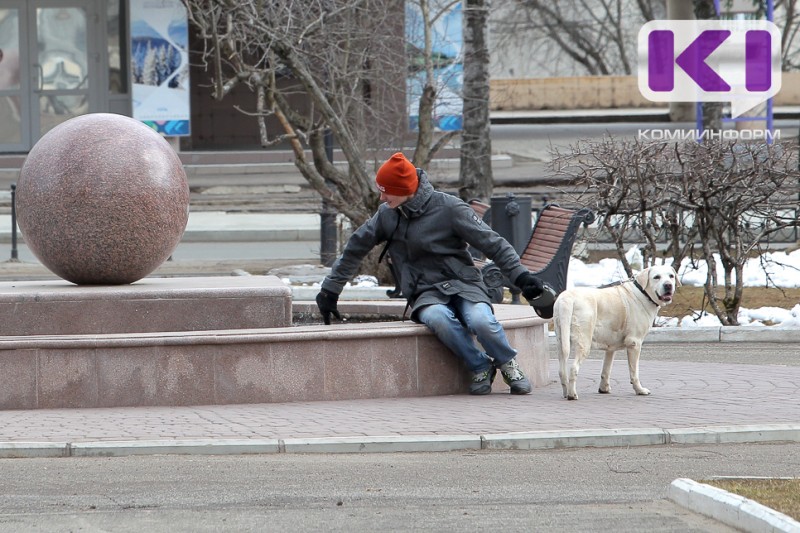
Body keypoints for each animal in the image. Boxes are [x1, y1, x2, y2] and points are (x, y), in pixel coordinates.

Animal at [552, 264, 680, 400]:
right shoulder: (634, 343)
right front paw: (639, 390)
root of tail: (567, 298)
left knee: (562, 370)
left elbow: (606, 369)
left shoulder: (610, 347)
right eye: (656, 277)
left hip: (561, 339)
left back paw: (566, 392)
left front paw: (604, 388)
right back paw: (572, 394)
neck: (643, 292)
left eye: (671, 276)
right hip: (584, 342)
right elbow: (634, 372)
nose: (668, 285)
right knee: (573, 368)